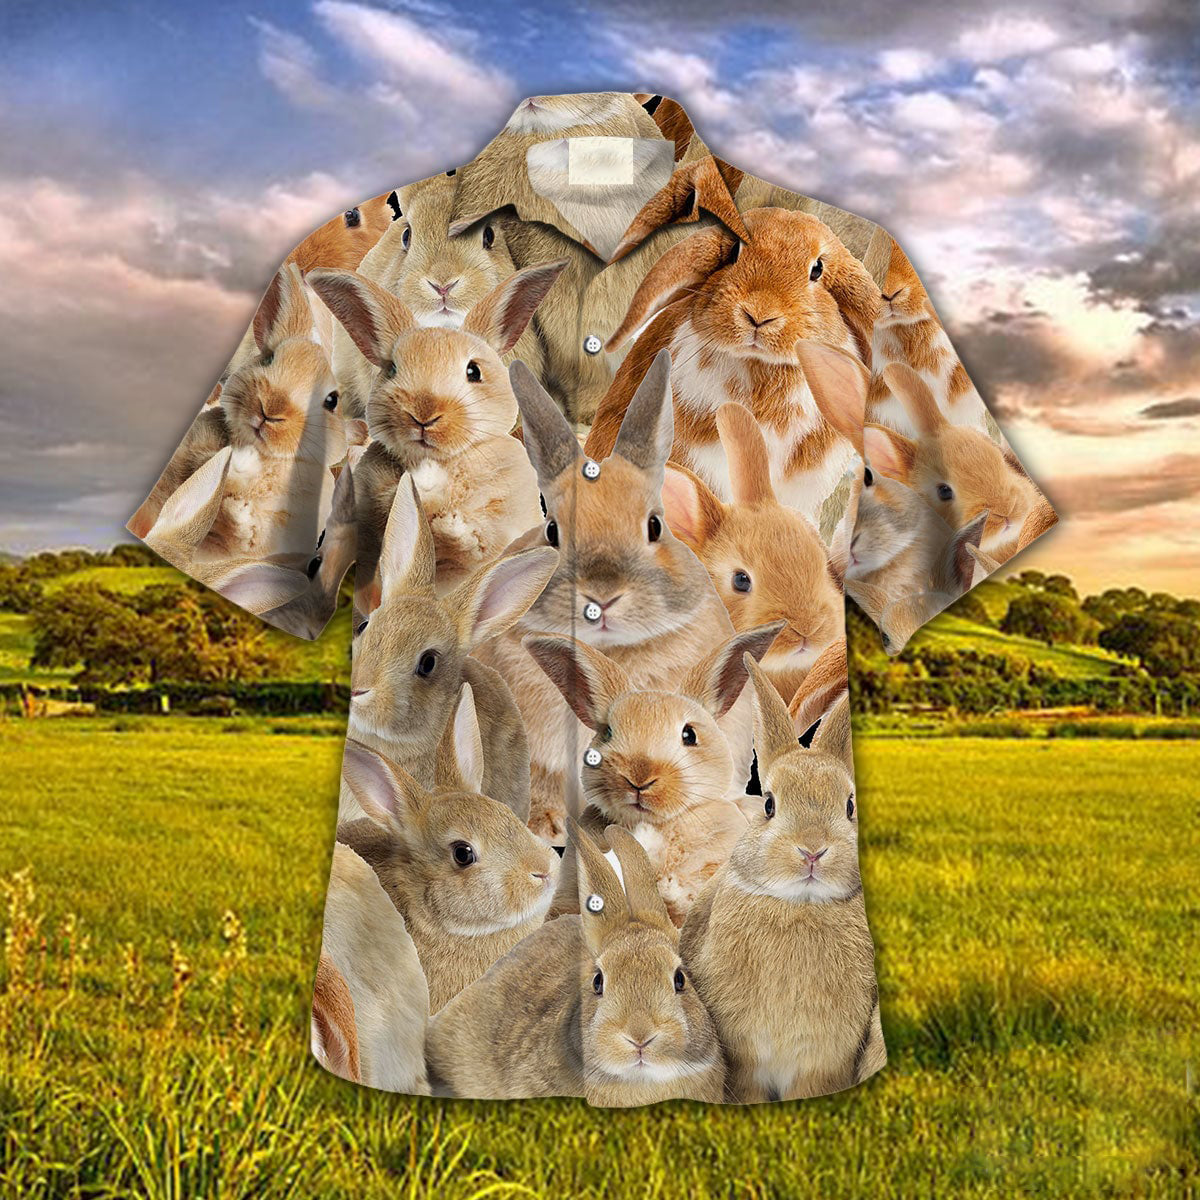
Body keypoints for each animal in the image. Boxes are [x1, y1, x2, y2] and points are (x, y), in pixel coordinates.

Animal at [680, 656, 886, 1102]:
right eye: (769, 805)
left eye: (849, 806)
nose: (812, 850)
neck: (799, 905)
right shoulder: (747, 1067)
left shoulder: (821, 1064)